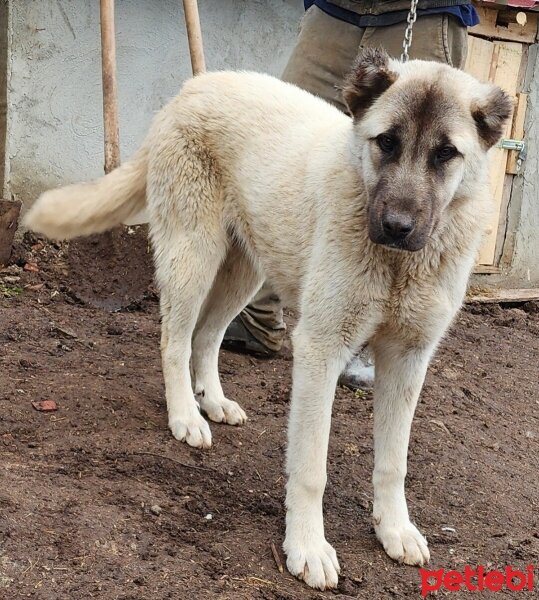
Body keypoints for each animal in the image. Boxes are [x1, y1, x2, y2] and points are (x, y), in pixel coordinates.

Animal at [26, 48, 516, 592]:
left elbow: (394, 463)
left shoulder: (408, 361)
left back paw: (212, 401)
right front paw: (307, 546)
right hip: (194, 256)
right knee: (175, 341)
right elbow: (311, 468)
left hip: (247, 269)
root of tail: (192, 88)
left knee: (207, 336)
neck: (395, 264)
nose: (396, 227)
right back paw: (185, 415)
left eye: (446, 153)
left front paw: (395, 529)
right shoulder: (320, 350)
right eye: (386, 141)